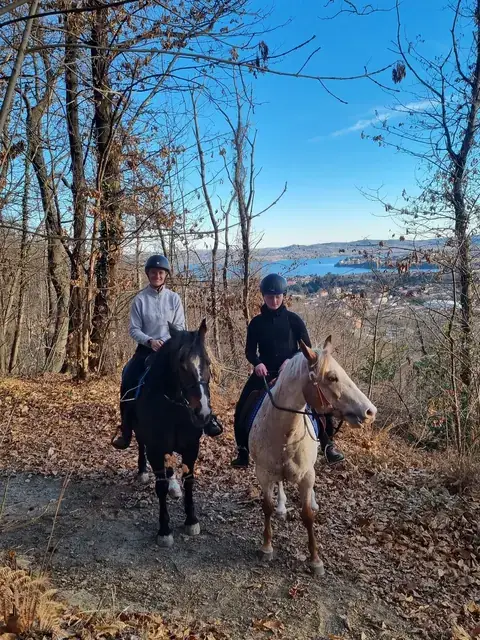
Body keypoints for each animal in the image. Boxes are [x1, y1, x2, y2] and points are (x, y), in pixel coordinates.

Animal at [130, 319, 212, 546]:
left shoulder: (191, 448)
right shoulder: (156, 449)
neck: (174, 407)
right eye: (181, 365)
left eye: (208, 362)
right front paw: (164, 530)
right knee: (140, 444)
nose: (202, 412)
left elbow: (189, 481)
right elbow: (160, 486)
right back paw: (143, 472)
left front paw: (191, 520)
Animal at [249, 336, 377, 575]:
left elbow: (308, 515)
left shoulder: (307, 476)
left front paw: (315, 560)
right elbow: (267, 508)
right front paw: (266, 547)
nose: (370, 411)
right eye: (332, 377)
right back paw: (282, 506)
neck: (285, 433)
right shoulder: (264, 473)